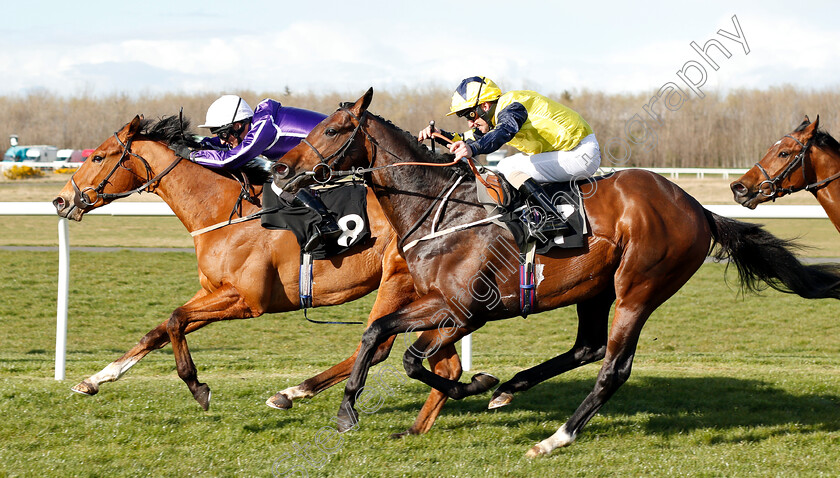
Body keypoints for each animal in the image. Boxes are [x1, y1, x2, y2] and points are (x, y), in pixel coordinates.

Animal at [52, 115, 466, 436]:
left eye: (99, 156)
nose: (61, 200)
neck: (221, 212)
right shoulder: (214, 292)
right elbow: (159, 330)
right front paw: (95, 379)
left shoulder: (246, 300)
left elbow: (174, 320)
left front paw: (197, 386)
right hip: (428, 295)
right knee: (445, 363)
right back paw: (425, 420)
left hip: (397, 281)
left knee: (377, 346)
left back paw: (293, 392)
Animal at [270, 88, 840, 458]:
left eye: (334, 129)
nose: (280, 169)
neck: (442, 210)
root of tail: (698, 208)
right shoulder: (448, 308)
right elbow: (381, 337)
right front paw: (351, 407)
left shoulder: (463, 308)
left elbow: (407, 355)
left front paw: (463, 386)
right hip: (595, 289)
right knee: (587, 347)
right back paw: (512, 388)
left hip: (639, 288)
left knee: (613, 367)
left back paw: (554, 438)